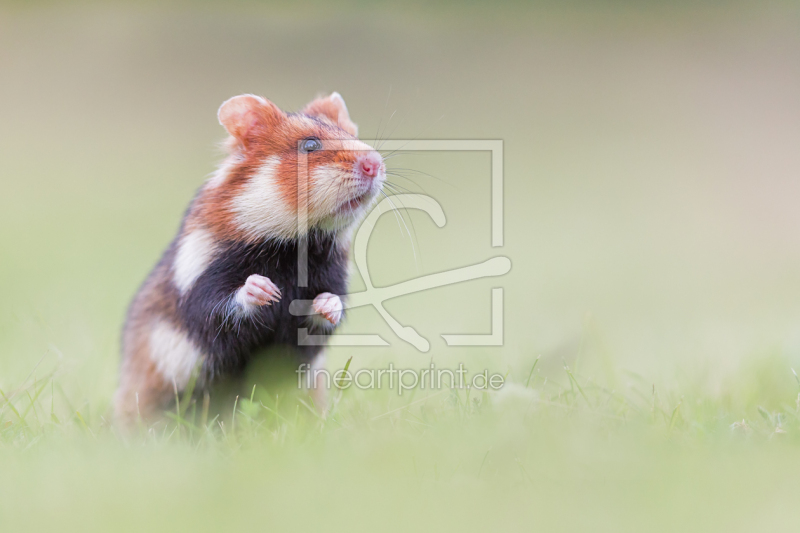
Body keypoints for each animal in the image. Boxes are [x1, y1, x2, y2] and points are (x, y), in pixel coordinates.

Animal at [114, 91, 386, 424]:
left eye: (353, 136)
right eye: (310, 145)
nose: (375, 163)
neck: (296, 245)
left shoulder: (331, 278)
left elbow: (326, 312)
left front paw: (326, 304)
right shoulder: (200, 283)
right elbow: (220, 306)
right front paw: (264, 289)